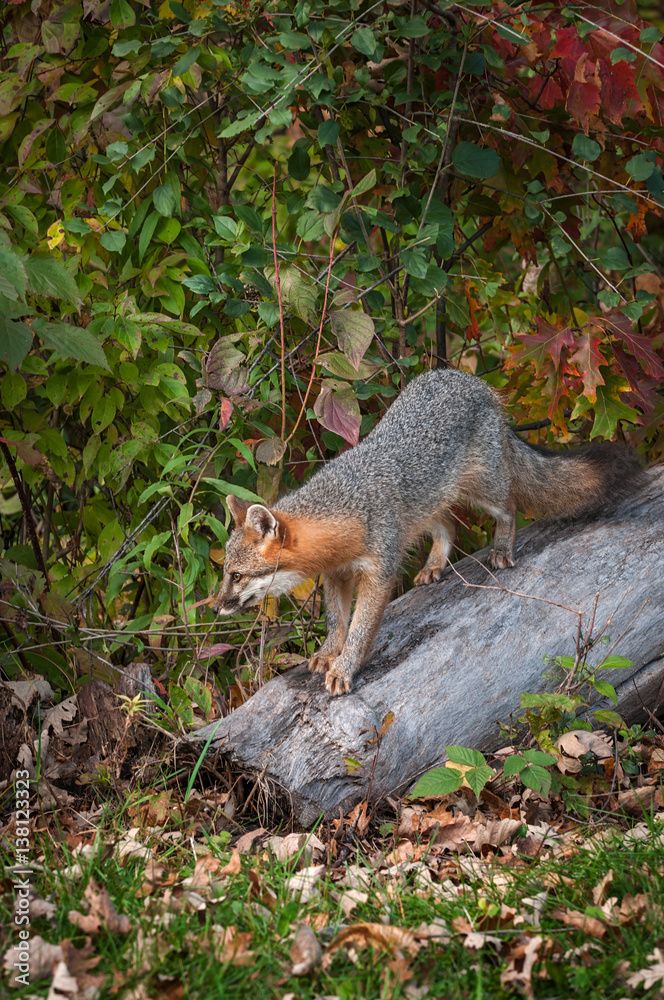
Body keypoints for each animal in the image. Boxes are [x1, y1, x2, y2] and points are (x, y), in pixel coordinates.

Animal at [213, 368, 642, 696]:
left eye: (237, 576)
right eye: (225, 574)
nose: (216, 608)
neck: (348, 506)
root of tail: (472, 381)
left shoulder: (379, 572)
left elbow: (360, 630)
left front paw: (345, 668)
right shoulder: (336, 574)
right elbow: (337, 621)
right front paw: (329, 651)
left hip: (483, 489)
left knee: (509, 507)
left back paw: (502, 548)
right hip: (427, 507)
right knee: (449, 525)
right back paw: (435, 565)